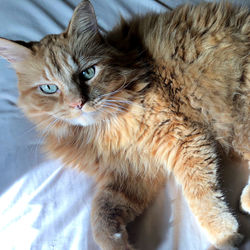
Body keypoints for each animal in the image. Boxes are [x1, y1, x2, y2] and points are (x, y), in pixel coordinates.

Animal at [0, 0, 250, 250]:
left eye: (88, 73)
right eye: (49, 88)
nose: (78, 103)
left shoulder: (183, 138)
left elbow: (200, 193)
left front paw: (224, 233)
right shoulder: (132, 173)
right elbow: (100, 215)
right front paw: (118, 242)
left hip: (239, 122)